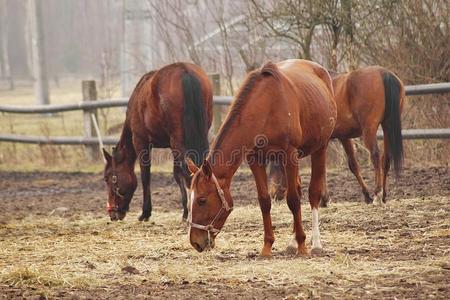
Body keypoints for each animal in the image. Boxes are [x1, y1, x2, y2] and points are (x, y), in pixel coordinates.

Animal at [102, 61, 213, 220]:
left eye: (108, 178)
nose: (112, 213)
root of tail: (185, 71)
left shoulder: (141, 142)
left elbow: (145, 175)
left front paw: (145, 212)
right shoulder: (171, 146)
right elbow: (177, 174)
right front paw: (185, 211)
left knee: (187, 172)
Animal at [185, 59, 336, 256]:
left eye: (202, 200)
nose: (195, 241)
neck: (267, 106)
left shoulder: (290, 155)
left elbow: (293, 200)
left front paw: (303, 247)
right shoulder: (255, 159)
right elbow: (265, 200)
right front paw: (267, 247)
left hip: (320, 149)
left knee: (313, 193)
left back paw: (315, 244)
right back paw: (292, 242)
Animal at [268, 66, 406, 205]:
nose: (273, 194)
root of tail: (383, 73)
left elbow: (321, 168)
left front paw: (324, 198)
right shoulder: (344, 137)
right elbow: (353, 165)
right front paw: (366, 195)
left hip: (370, 130)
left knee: (375, 156)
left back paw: (378, 193)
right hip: (387, 126)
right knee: (386, 159)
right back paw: (383, 195)